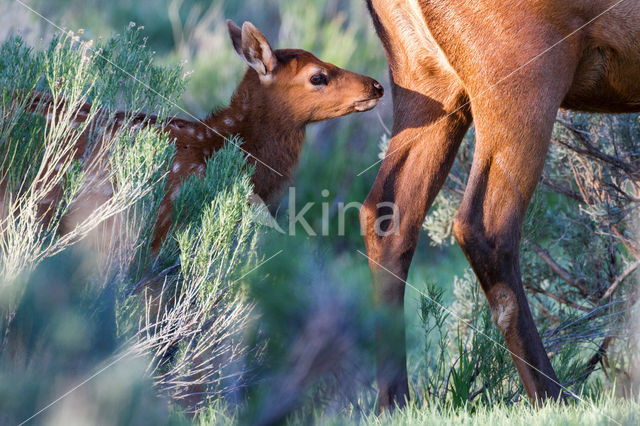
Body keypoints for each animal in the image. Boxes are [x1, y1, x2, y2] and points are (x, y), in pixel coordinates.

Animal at [360, 0, 640, 412]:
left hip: (427, 78)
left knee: (388, 215)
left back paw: (394, 402)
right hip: (521, 75)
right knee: (485, 226)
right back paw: (552, 395)